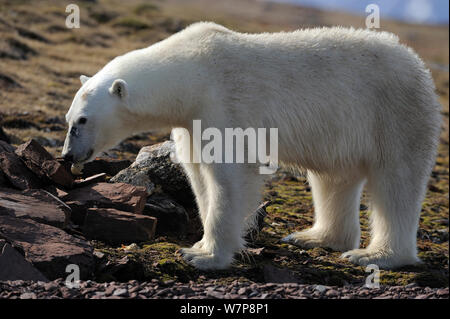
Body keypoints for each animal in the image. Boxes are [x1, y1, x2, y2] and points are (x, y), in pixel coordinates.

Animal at [61, 22, 442, 272]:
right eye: (68, 119)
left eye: (81, 121)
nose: (67, 156)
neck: (193, 73)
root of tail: (417, 63)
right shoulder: (191, 120)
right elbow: (198, 175)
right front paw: (198, 245)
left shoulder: (224, 105)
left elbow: (230, 177)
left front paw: (207, 256)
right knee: (333, 179)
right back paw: (315, 237)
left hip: (394, 114)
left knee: (396, 184)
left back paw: (377, 256)